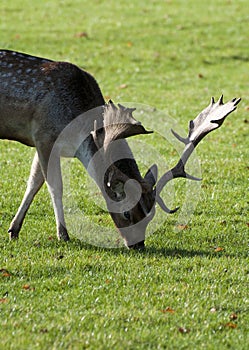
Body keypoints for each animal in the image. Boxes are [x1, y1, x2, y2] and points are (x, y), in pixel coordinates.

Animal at [0, 50, 241, 250]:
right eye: (126, 212)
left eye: (150, 213)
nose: (137, 245)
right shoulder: (44, 136)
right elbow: (53, 186)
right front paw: (63, 234)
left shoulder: (44, 143)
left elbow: (34, 182)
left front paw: (14, 230)